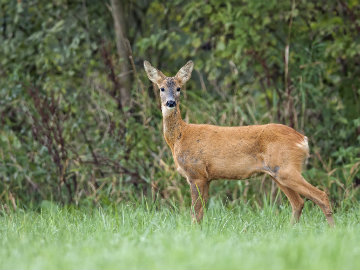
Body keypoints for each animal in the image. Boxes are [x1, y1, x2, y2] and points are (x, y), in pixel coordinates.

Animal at [143, 60, 334, 227]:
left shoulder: (196, 173)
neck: (180, 137)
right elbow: (201, 212)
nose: (170, 102)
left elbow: (195, 212)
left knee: (321, 196)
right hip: (277, 173)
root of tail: (303, 139)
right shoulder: (206, 177)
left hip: (286, 168)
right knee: (299, 203)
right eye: (161, 88)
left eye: (179, 88)